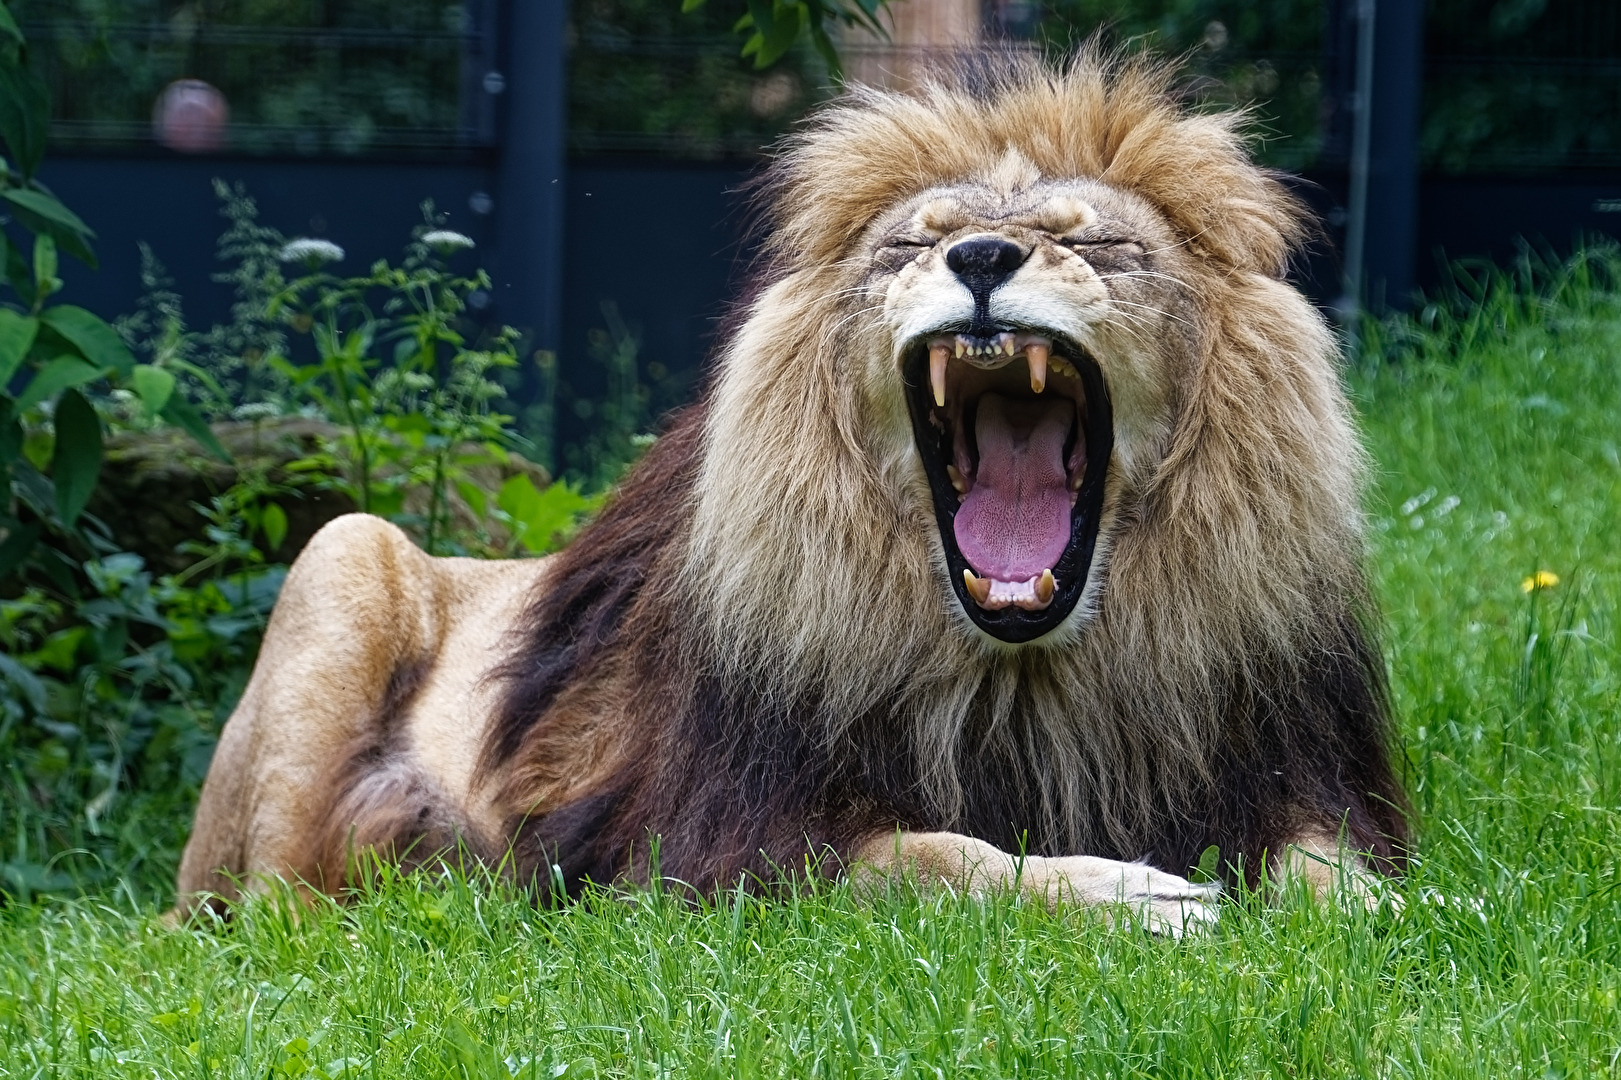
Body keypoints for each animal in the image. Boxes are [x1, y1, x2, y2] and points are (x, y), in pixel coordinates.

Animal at [176, 53, 1408, 933]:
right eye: (913, 244)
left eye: (1093, 241)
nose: (983, 257)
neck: (1022, 677)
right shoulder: (709, 848)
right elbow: (934, 860)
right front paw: (1129, 894)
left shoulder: (1285, 767)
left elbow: (1335, 868)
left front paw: (1403, 913)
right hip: (344, 554)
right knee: (272, 911)